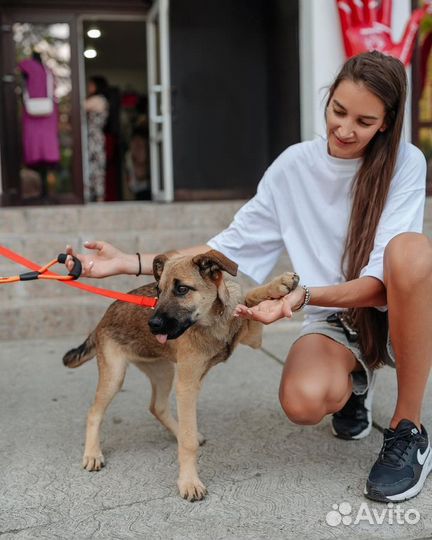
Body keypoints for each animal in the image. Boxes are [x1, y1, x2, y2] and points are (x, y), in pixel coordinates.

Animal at [64, 251, 298, 500]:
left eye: (182, 289)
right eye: (158, 291)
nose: (152, 325)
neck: (213, 320)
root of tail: (101, 321)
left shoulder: (254, 338)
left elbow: (250, 298)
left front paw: (279, 285)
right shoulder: (187, 385)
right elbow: (187, 444)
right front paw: (189, 482)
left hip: (164, 371)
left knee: (157, 407)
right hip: (115, 375)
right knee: (94, 412)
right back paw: (92, 454)